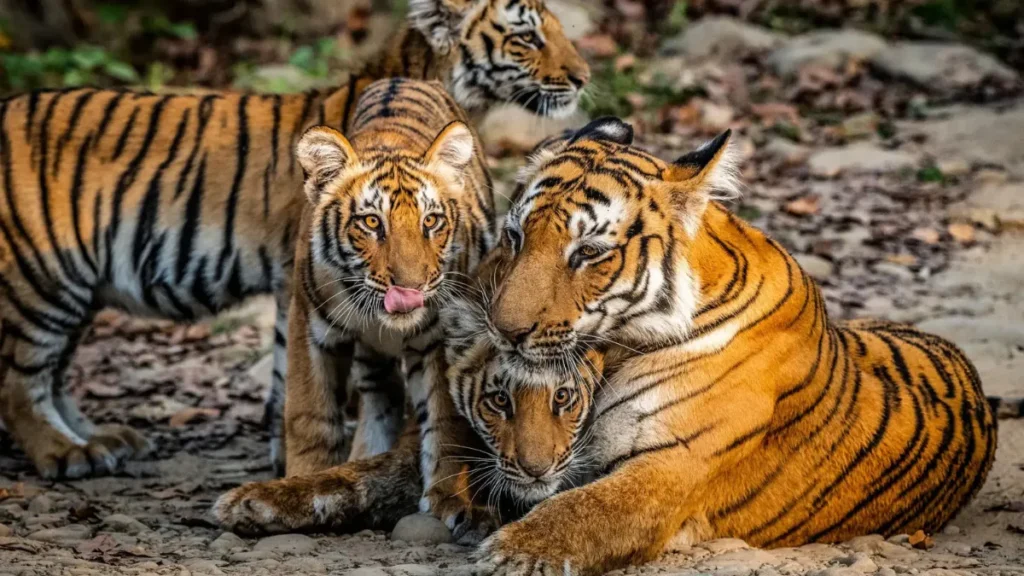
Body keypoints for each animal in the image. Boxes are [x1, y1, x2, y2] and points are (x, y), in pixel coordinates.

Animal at [0, 0, 589, 480]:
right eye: (527, 37)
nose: (584, 78)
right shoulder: (301, 279)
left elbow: (288, 368)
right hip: (41, 277)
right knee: (20, 381)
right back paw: (67, 453)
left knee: (53, 374)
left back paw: (102, 439)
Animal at [214, 118, 996, 576]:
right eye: (514, 236)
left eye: (588, 253)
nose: (503, 329)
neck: (619, 349)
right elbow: (366, 471)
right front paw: (258, 499)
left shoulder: (676, 466)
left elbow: (587, 510)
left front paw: (514, 550)